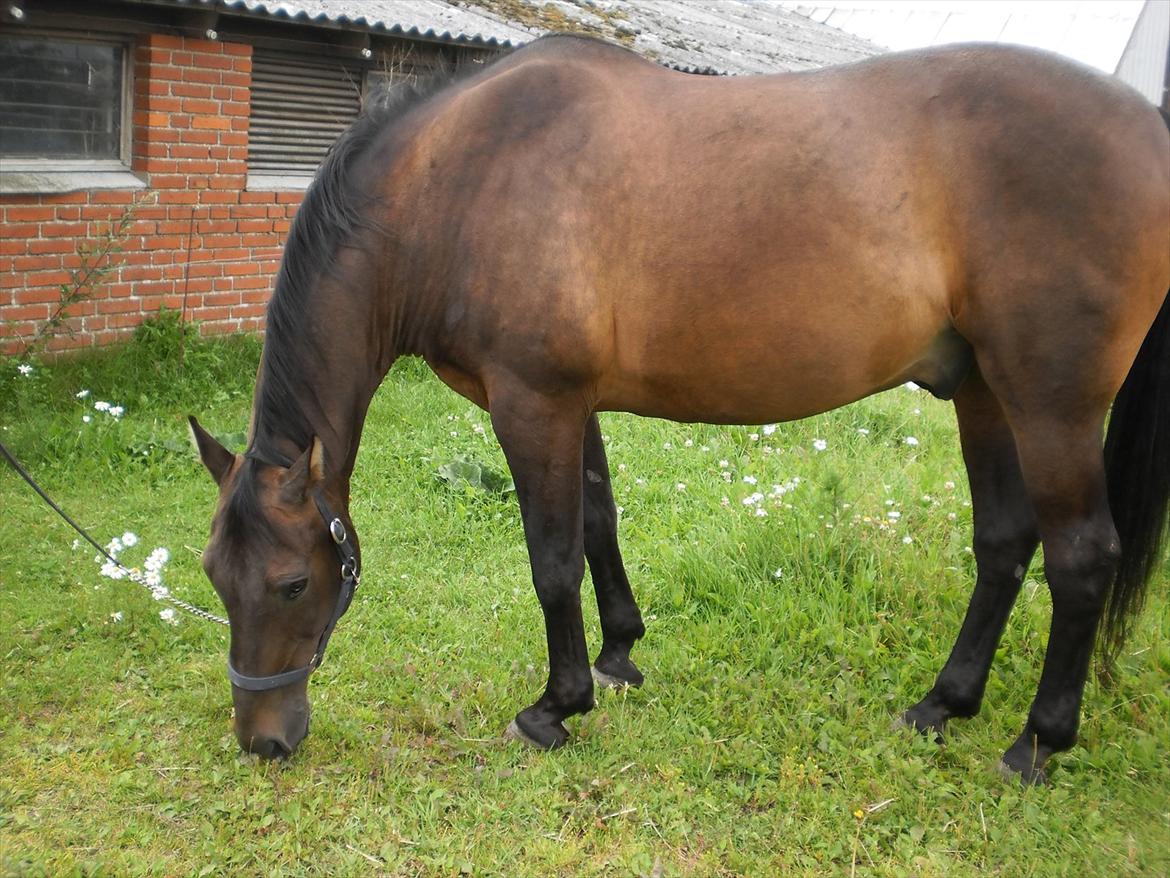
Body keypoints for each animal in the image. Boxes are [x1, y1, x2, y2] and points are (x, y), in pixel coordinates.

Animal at [187, 37, 1165, 786]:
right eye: (213, 578)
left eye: (292, 583)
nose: (263, 741)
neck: (457, 183)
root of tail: (1148, 129)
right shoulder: (569, 402)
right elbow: (597, 521)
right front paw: (619, 656)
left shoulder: (531, 402)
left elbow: (551, 559)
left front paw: (555, 707)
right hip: (984, 393)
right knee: (1002, 544)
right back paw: (942, 705)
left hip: (1050, 403)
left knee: (1081, 559)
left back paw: (1035, 743)